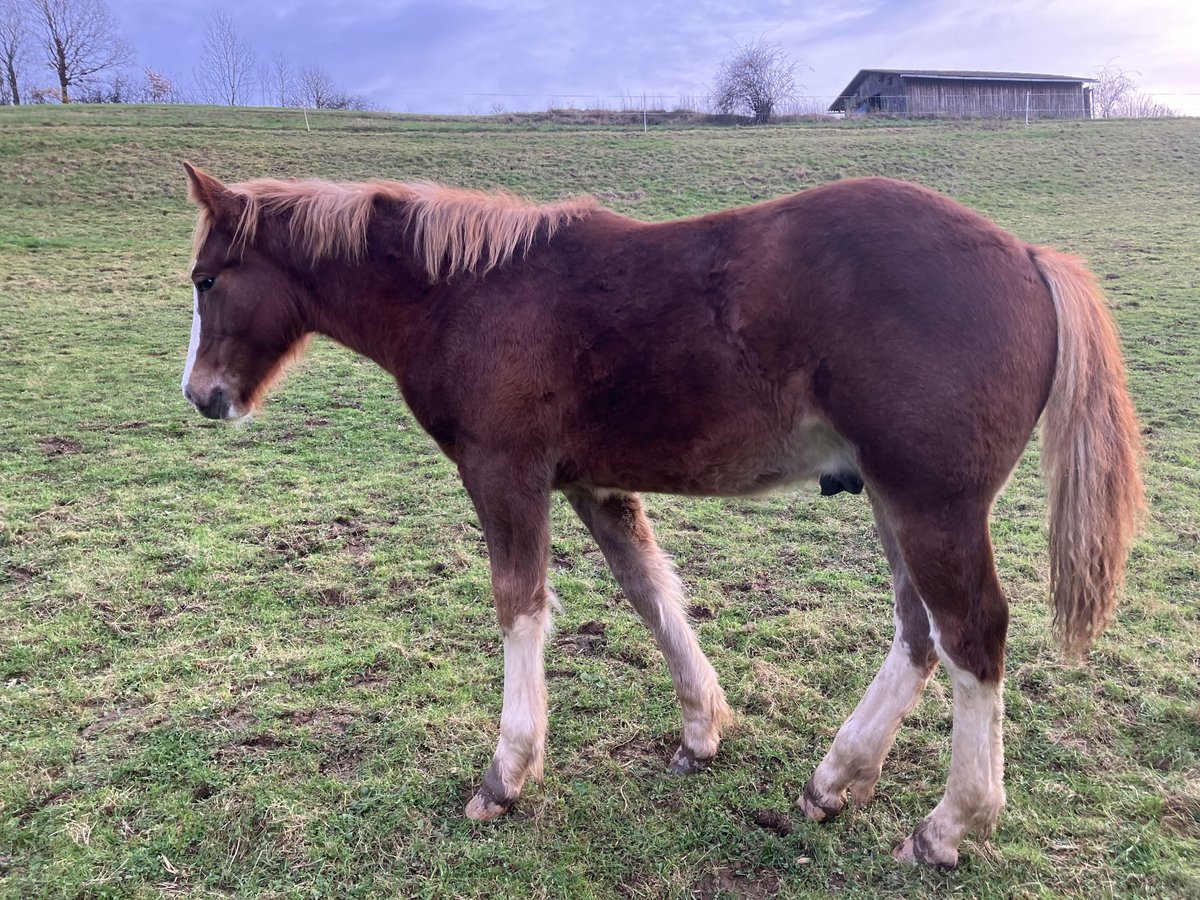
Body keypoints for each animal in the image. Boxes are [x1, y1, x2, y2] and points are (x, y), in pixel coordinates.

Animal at [180, 162, 1142, 868]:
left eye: (205, 278)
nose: (202, 397)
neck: (465, 293)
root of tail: (1028, 256)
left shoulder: (505, 474)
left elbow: (520, 608)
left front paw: (506, 776)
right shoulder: (592, 484)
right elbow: (650, 593)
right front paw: (702, 732)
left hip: (931, 503)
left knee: (972, 634)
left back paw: (949, 825)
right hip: (893, 497)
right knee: (920, 632)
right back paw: (835, 780)